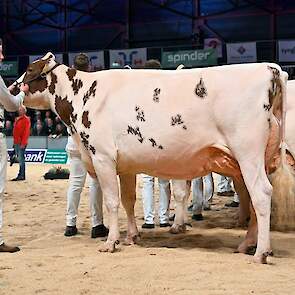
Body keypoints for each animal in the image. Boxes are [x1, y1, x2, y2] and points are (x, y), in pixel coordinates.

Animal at [17, 52, 292, 264]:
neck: (84, 95)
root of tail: (270, 68)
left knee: (261, 194)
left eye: (29, 69)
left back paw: (260, 253)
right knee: (255, 199)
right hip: (258, 158)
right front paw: (132, 236)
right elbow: (128, 201)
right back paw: (247, 245)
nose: (11, 88)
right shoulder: (125, 165)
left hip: (247, 153)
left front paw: (111, 242)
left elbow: (112, 202)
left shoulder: (102, 157)